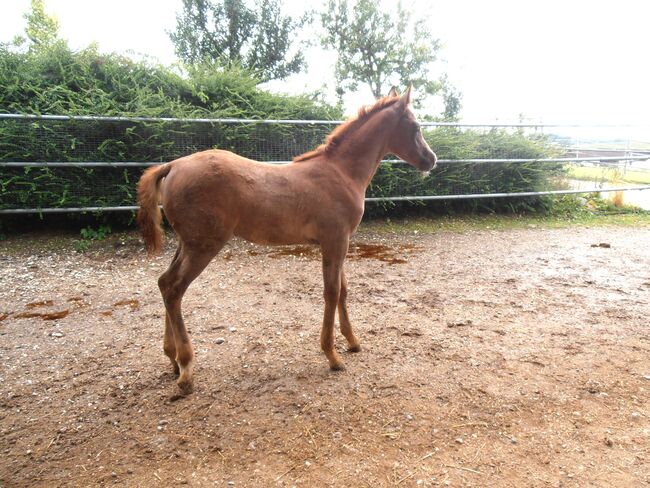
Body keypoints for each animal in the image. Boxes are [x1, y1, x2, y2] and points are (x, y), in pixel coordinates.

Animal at [137, 85, 437, 393]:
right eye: (416, 126)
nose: (431, 159)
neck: (341, 172)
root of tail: (173, 165)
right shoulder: (335, 240)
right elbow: (331, 292)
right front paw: (332, 355)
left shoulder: (340, 242)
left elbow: (343, 290)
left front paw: (353, 342)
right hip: (204, 245)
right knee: (174, 288)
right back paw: (186, 369)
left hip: (187, 243)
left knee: (164, 282)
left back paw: (172, 359)